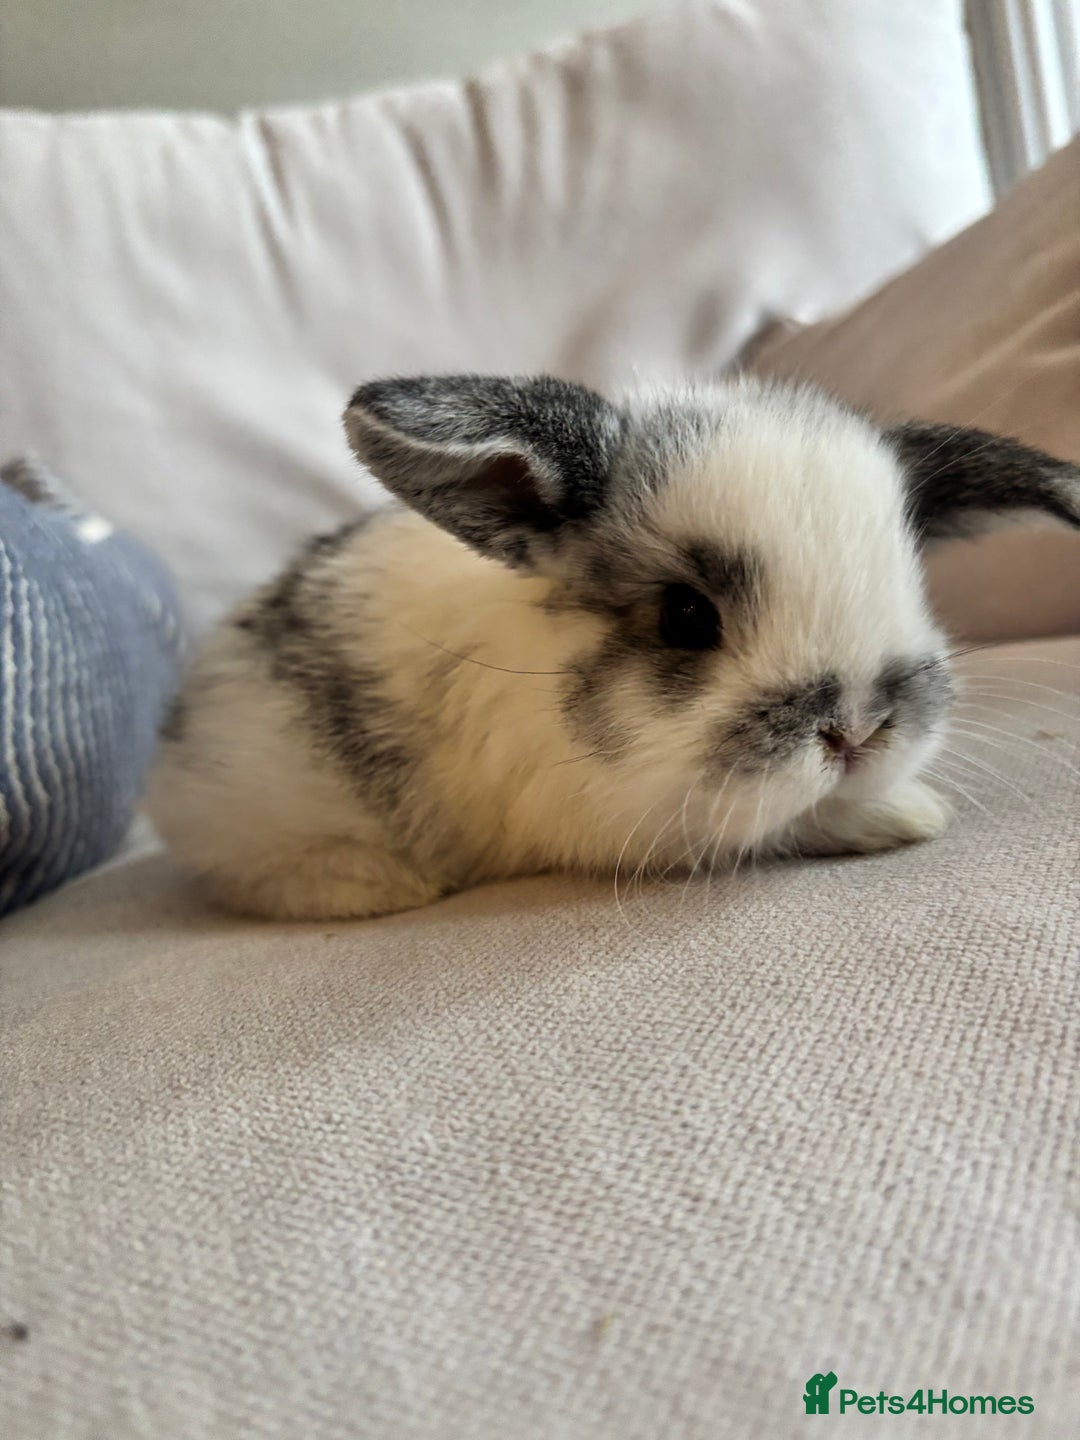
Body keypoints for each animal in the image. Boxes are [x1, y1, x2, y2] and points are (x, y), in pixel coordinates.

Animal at [147, 373, 1080, 920]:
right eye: (685, 617)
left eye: (911, 582)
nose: (856, 731)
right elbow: (772, 826)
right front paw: (905, 814)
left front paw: (905, 804)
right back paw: (378, 886)